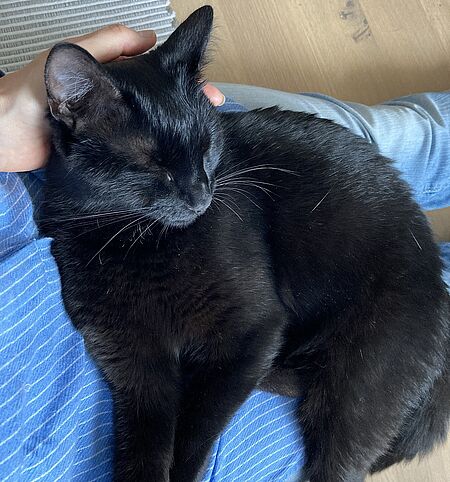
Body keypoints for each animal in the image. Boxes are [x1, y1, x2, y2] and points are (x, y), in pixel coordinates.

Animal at [40, 6, 450, 482]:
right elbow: (143, 446)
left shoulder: (249, 331)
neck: (139, 242)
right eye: (154, 164)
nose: (201, 194)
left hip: (359, 388)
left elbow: (195, 430)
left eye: (206, 146)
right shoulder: (133, 360)